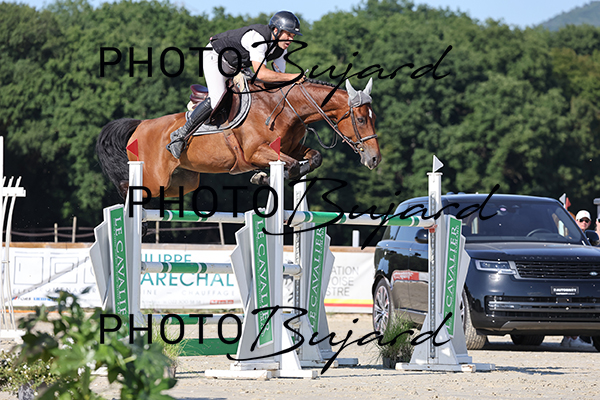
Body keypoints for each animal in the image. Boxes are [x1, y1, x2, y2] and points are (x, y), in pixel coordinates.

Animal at [96, 77, 381, 199]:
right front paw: (264, 176)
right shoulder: (256, 151)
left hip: (182, 182)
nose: (375, 159)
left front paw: (265, 176)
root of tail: (140, 125)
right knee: (129, 186)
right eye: (361, 120)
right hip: (154, 179)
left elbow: (313, 158)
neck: (286, 109)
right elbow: (288, 164)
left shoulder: (293, 147)